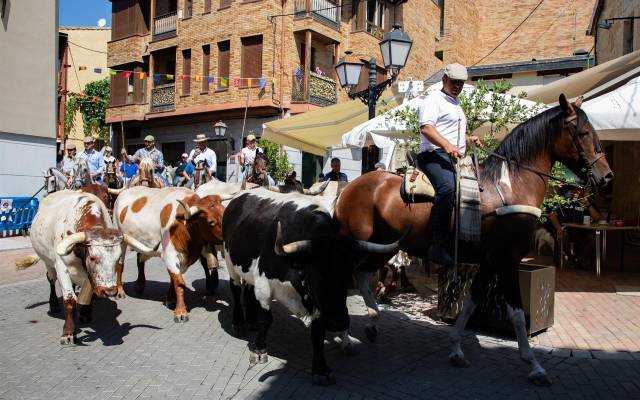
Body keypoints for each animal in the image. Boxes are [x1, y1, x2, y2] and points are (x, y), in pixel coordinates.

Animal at [15, 190, 136, 344]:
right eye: (93, 257)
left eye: (117, 259)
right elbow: (69, 299)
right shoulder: (61, 267)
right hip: (48, 263)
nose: (109, 292)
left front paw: (85, 314)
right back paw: (53, 304)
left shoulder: (90, 275)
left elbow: (89, 294)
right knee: (51, 280)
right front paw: (68, 332)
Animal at [112, 187, 225, 322]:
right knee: (120, 265)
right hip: (121, 241)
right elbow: (179, 282)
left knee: (140, 259)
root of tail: (123, 191)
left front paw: (171, 299)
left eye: (225, 211)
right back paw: (120, 291)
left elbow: (174, 278)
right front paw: (180, 311)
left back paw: (140, 285)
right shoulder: (170, 254)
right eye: (211, 222)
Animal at [222, 188, 402, 384]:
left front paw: (320, 369)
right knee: (236, 289)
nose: (339, 321)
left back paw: (251, 321)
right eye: (318, 274)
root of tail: (241, 195)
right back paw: (239, 323)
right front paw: (259, 349)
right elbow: (267, 320)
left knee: (247, 288)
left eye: (348, 276)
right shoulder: (264, 285)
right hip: (230, 262)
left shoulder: (317, 302)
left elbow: (318, 333)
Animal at [332, 94, 612, 384]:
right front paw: (534, 365)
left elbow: (470, 303)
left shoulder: (489, 263)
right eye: (583, 133)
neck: (508, 187)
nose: (606, 176)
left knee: (362, 275)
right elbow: (517, 314)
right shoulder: (507, 260)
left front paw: (456, 348)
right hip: (357, 243)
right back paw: (344, 336)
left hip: (384, 247)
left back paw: (372, 321)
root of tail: (350, 188)